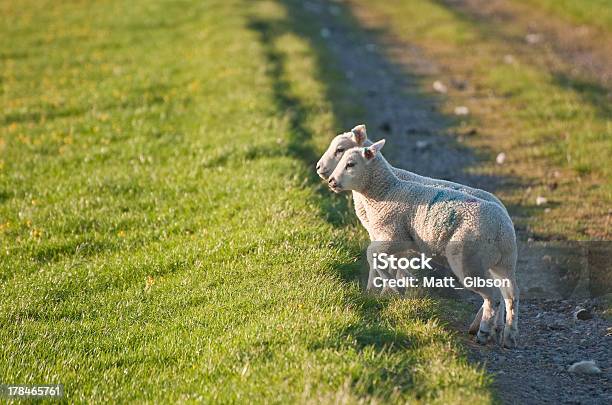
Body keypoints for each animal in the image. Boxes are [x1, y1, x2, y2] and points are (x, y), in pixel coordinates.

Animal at [328, 140, 520, 348]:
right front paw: (390, 288)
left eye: (350, 164)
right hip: (503, 262)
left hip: (469, 259)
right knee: (510, 295)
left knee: (493, 297)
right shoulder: (400, 242)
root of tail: (501, 227)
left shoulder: (394, 234)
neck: (385, 192)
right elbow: (386, 260)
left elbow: (372, 254)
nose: (331, 181)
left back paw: (483, 333)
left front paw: (391, 287)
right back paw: (508, 336)